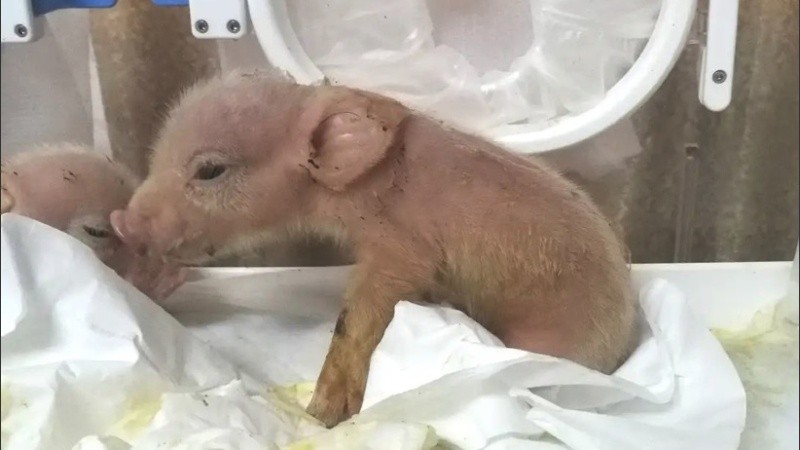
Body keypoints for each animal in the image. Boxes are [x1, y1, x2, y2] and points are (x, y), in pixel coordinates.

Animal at [110, 70, 639, 427]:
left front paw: (320, 415)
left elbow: (361, 315)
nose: (122, 220)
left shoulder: (401, 248)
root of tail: (622, 342)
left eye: (210, 170)